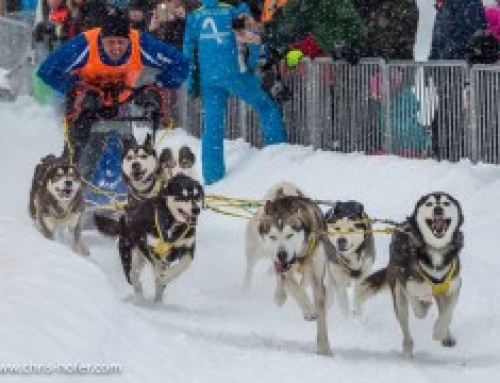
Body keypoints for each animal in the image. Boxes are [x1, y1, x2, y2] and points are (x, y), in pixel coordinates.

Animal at [118, 174, 204, 304]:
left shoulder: (188, 248)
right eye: (182, 196)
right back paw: (139, 297)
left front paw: (166, 278)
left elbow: (183, 266)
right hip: (130, 254)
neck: (173, 224)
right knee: (133, 275)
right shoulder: (151, 248)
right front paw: (161, 277)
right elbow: (157, 268)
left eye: (197, 195)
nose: (196, 210)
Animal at [358, 194, 462, 358]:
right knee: (406, 326)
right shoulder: (406, 286)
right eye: (429, 203)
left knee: (442, 310)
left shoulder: (453, 288)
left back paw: (447, 335)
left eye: (446, 203)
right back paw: (407, 348)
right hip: (399, 299)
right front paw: (424, 308)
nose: (438, 209)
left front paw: (440, 332)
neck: (435, 252)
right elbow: (418, 308)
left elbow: (447, 313)